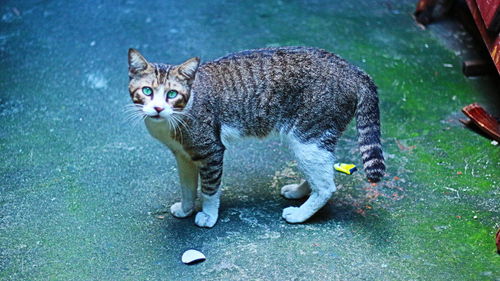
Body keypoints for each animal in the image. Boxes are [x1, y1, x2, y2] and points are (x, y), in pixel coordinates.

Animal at [127, 45, 384, 225]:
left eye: (172, 94)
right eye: (147, 91)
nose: (158, 108)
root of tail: (354, 69)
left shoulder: (211, 151)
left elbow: (209, 190)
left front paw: (208, 216)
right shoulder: (183, 156)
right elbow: (188, 187)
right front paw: (185, 209)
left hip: (308, 137)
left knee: (326, 186)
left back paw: (300, 214)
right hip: (311, 143)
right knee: (323, 170)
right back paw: (299, 191)